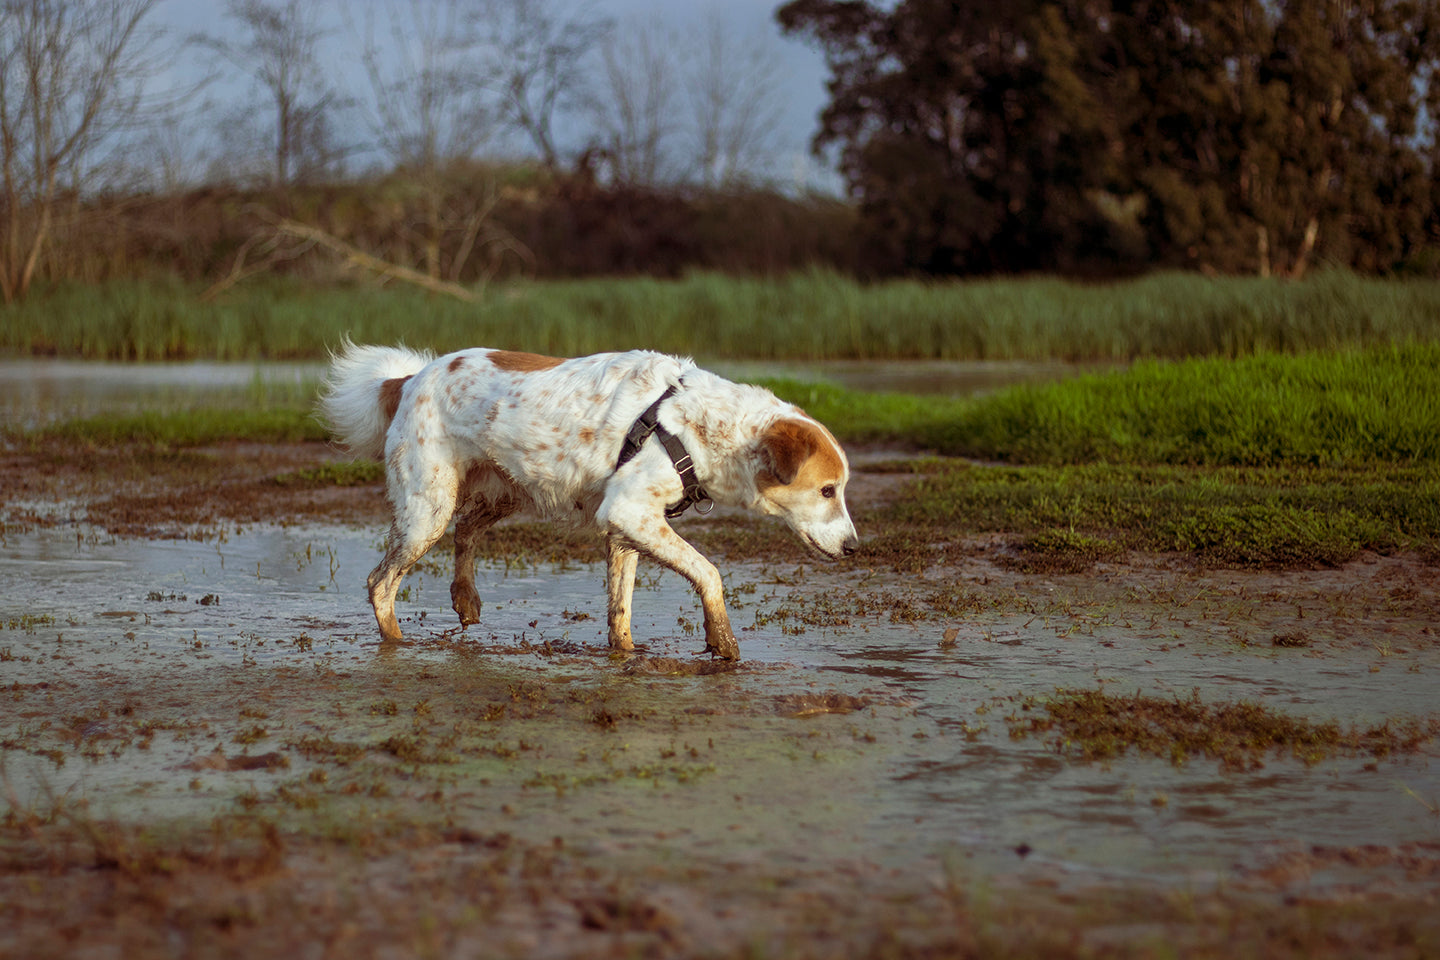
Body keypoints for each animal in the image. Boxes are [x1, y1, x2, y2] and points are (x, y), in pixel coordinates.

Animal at [321, 343, 852, 662]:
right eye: (828, 490)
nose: (853, 548)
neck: (693, 424)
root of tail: (408, 379)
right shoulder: (629, 512)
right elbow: (710, 572)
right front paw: (721, 639)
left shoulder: (626, 529)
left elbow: (621, 612)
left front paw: (625, 654)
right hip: (426, 510)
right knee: (380, 583)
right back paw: (397, 643)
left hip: (505, 491)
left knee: (466, 530)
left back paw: (465, 598)